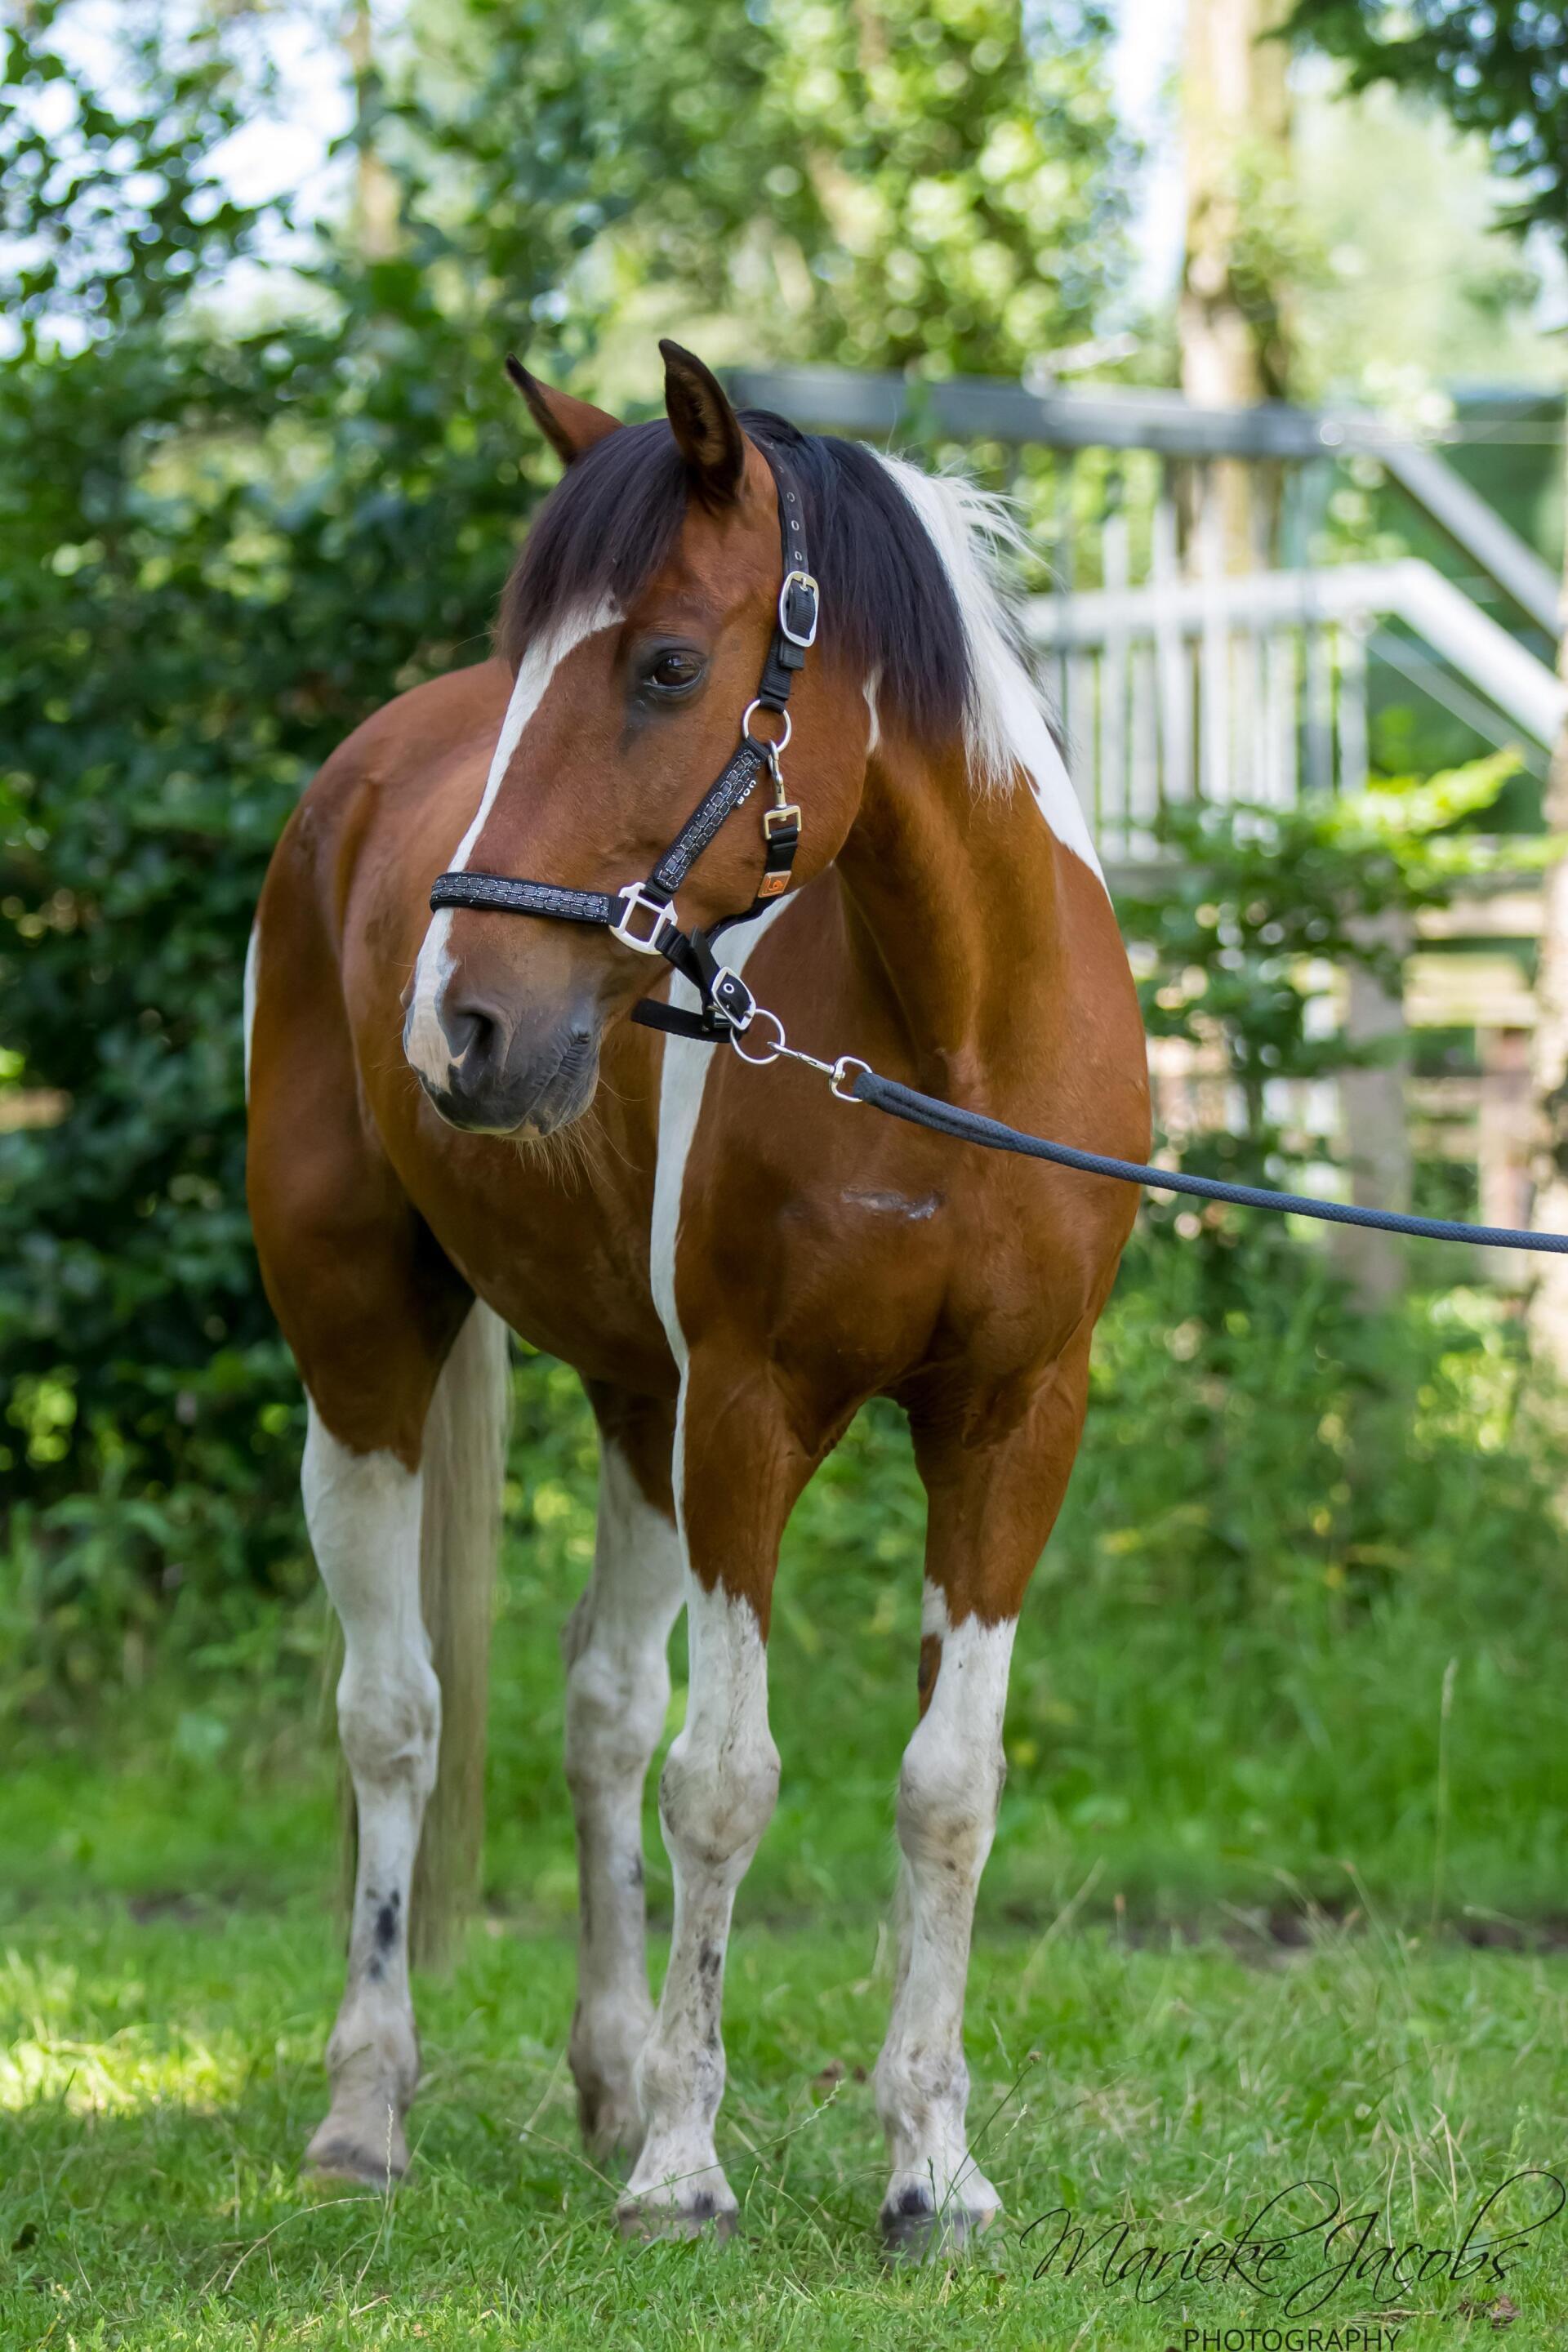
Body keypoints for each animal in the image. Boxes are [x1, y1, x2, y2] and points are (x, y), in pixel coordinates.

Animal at [244, 339, 1149, 2251]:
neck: (954, 1043)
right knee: (394, 1717)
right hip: (362, 1352)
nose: (461, 1024)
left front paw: (931, 2167)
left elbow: (943, 1790)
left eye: (667, 664)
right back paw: (369, 2113)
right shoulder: (751, 1411)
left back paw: (601, 2082)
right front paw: (685, 2168)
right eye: (538, 670)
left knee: (599, 1710)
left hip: (631, 1399)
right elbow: (725, 1785)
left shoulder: (1010, 1424)